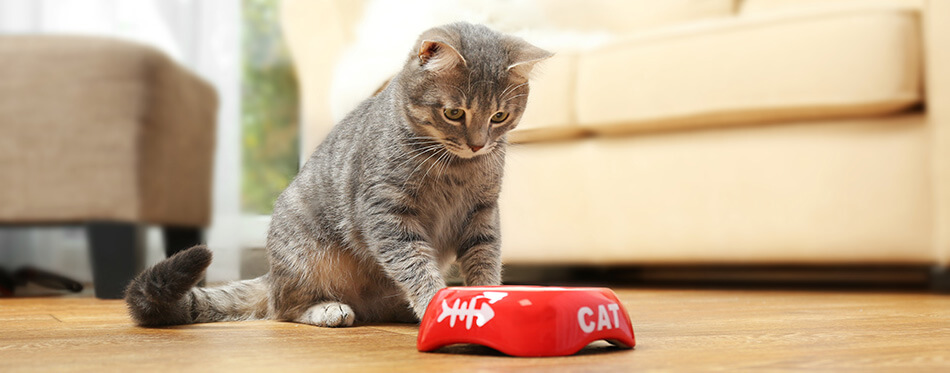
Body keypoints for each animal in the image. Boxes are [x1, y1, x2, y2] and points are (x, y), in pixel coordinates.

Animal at [123, 22, 556, 326]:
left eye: (499, 116)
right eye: (454, 113)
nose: (479, 144)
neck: (455, 167)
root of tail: (272, 274)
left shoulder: (482, 214)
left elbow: (485, 261)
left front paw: (485, 300)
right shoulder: (387, 214)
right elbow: (415, 265)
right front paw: (436, 304)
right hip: (305, 259)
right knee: (284, 308)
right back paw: (327, 309)